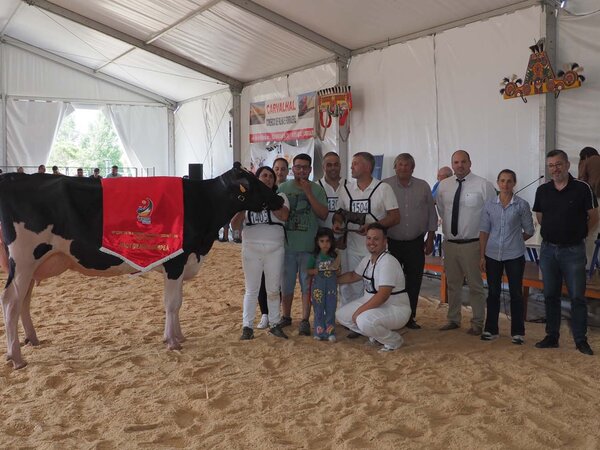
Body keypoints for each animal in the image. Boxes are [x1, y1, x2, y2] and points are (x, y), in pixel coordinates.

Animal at [0, 162, 283, 369]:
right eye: (255, 183)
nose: (279, 199)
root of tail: (11, 178)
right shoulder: (175, 262)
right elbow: (172, 303)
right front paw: (172, 341)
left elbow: (178, 302)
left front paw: (179, 336)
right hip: (23, 260)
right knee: (11, 301)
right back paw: (16, 357)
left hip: (33, 265)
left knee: (24, 300)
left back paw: (32, 339)